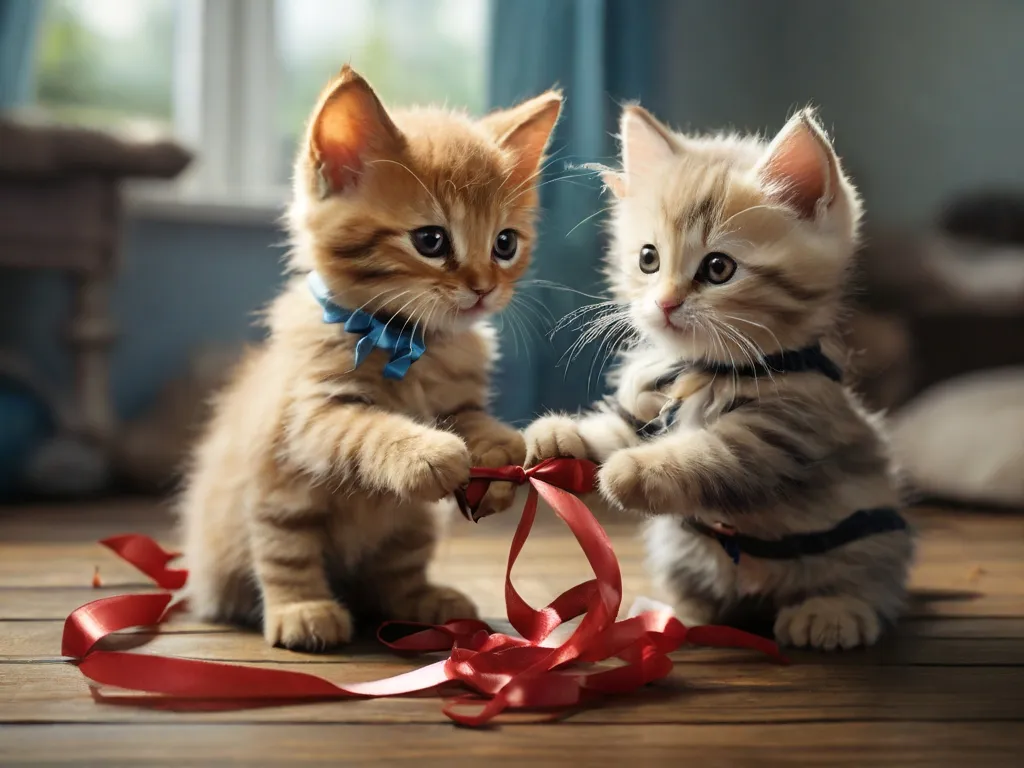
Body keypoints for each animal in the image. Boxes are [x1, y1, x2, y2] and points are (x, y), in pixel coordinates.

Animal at [176, 69, 561, 651]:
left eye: (505, 243)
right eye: (431, 240)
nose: (482, 288)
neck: (408, 342)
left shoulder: (459, 401)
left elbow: (478, 423)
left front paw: (498, 457)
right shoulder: (312, 416)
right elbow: (370, 429)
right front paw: (425, 454)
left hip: (413, 525)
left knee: (394, 575)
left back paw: (425, 600)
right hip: (275, 500)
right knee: (283, 555)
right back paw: (302, 609)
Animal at [528, 105, 913, 651]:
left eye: (718, 268)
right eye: (648, 259)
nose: (665, 303)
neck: (703, 369)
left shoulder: (779, 429)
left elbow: (702, 454)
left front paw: (632, 471)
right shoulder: (644, 405)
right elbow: (611, 429)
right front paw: (560, 436)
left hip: (871, 533)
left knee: (871, 581)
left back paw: (832, 613)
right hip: (676, 545)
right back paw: (680, 612)